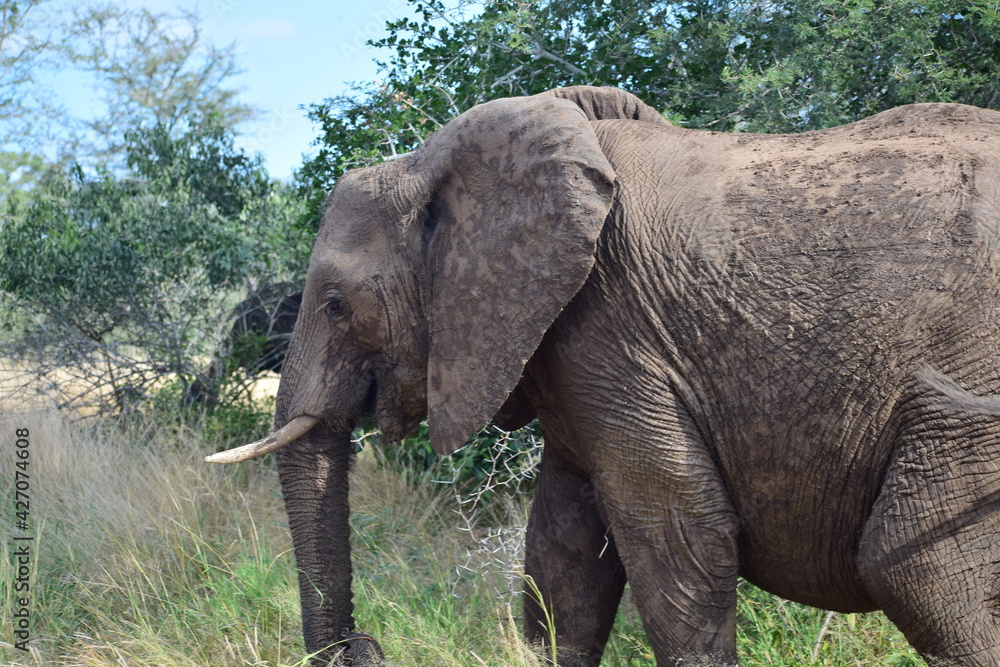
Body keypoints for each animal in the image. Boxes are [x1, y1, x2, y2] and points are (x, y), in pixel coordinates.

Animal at [207, 86, 1000, 664]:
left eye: (336, 306)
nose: (363, 645)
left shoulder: (613, 329)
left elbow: (678, 534)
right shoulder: (569, 351)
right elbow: (561, 556)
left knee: (915, 568)